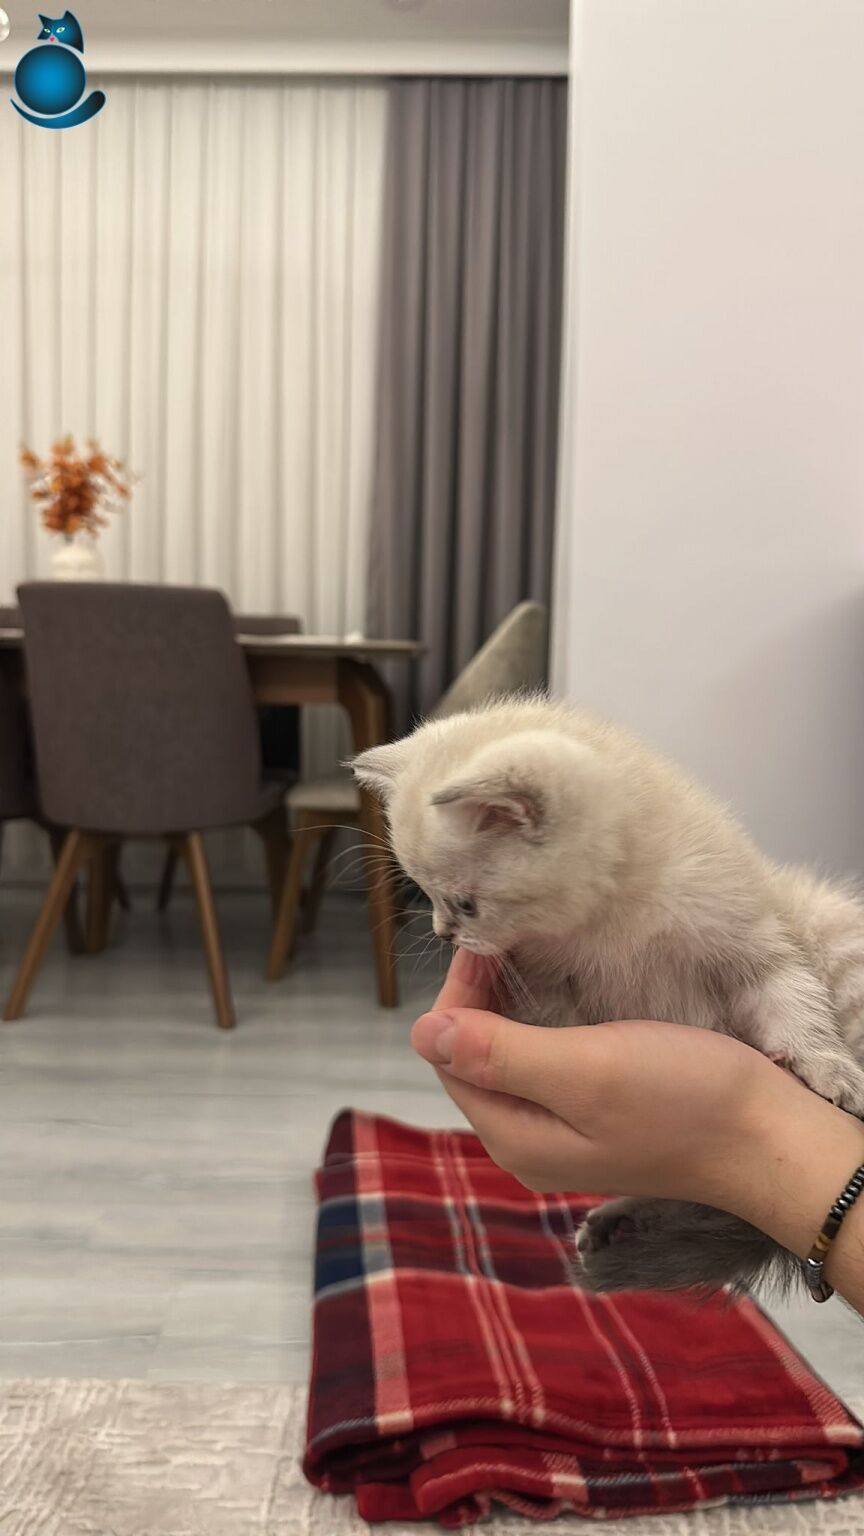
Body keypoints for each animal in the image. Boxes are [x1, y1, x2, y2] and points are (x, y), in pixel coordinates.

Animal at [352, 696, 864, 1296]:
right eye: (425, 894)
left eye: (466, 904)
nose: (443, 933)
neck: (611, 920)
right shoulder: (546, 981)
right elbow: (553, 1018)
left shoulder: (752, 940)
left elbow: (794, 1003)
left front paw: (832, 1070)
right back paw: (617, 1225)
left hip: (836, 930)